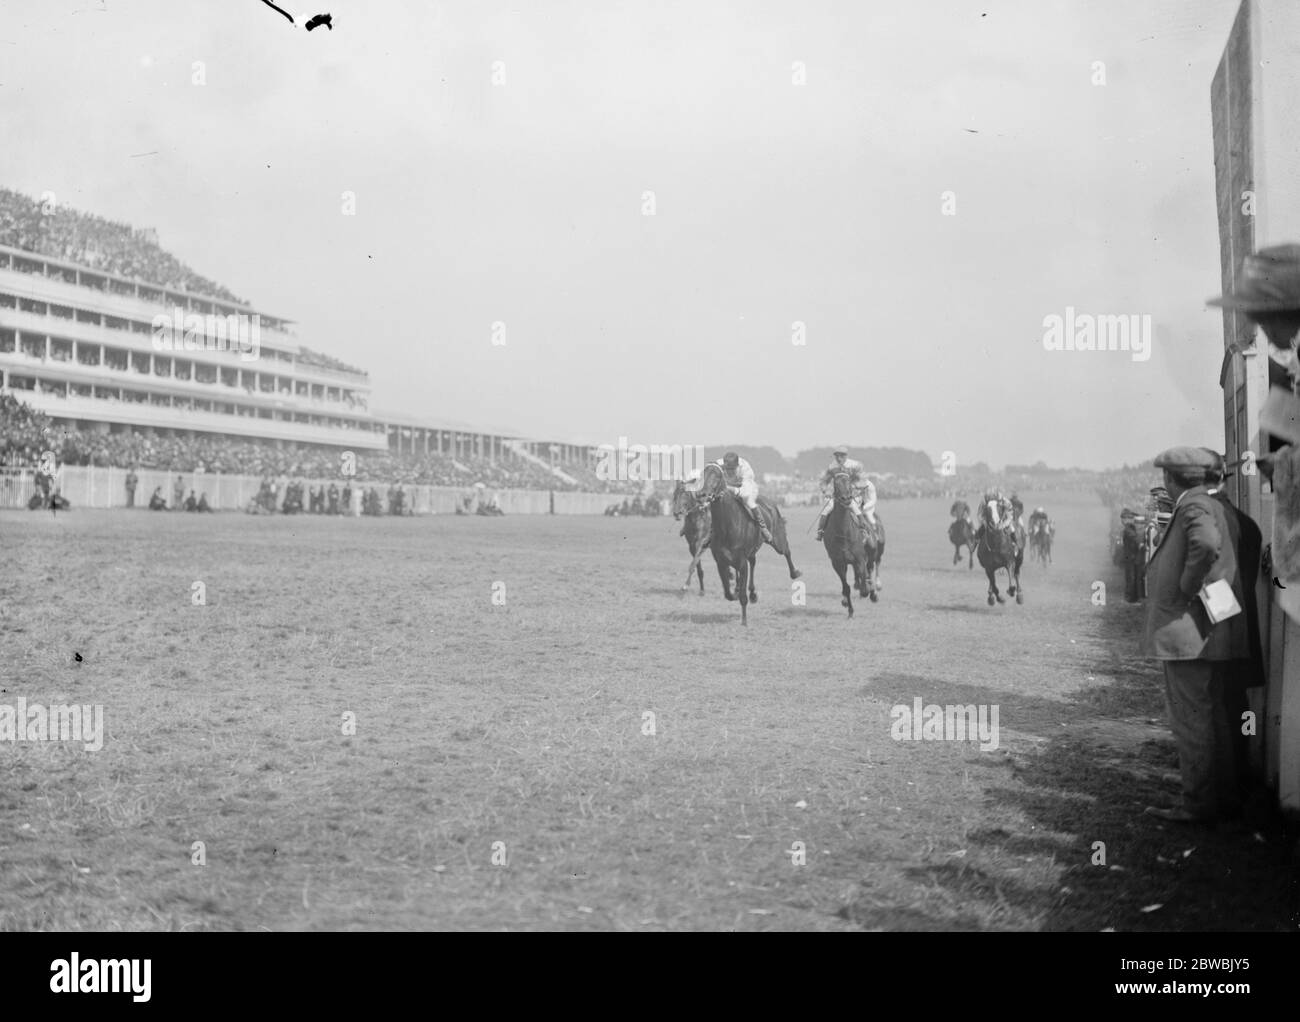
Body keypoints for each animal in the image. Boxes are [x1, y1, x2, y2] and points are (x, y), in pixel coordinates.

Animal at [691, 462, 800, 621]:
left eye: (717, 476)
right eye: (702, 475)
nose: (701, 495)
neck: (727, 526)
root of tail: (771, 503)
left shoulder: (741, 561)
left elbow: (742, 593)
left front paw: (744, 618)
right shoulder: (721, 561)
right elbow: (728, 593)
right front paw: (736, 592)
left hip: (776, 539)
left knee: (786, 551)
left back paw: (795, 572)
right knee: (753, 562)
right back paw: (752, 593)